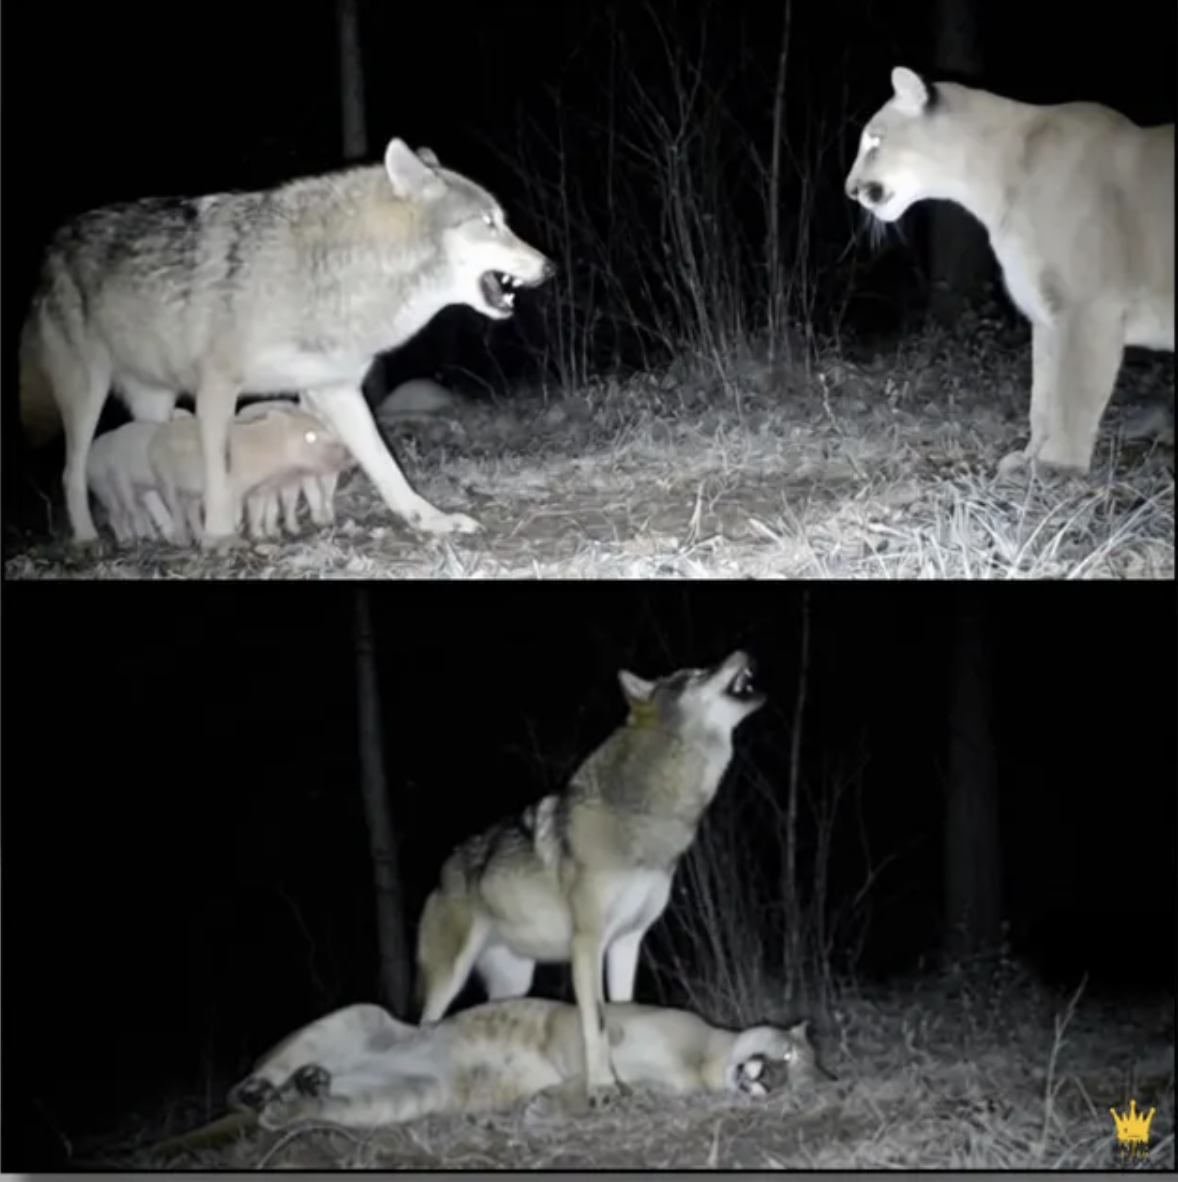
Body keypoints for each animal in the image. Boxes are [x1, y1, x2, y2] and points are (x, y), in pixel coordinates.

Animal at [19, 139, 555, 548]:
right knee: (70, 475)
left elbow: (385, 467)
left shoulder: (335, 389)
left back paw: (169, 533)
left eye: (502, 220)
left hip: (156, 401)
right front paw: (219, 536)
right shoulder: (217, 387)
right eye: (488, 222)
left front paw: (431, 521)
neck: (334, 273)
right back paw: (90, 538)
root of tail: (52, 248)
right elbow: (219, 470)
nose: (549, 266)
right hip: (88, 394)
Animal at [416, 650, 766, 1106]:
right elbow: (596, 1025)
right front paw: (602, 1088)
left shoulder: (626, 941)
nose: (743, 652)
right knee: (423, 1025)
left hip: (515, 980)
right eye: (695, 674)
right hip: (449, 978)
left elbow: (623, 1008)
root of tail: (443, 870)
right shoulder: (587, 943)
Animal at [846, 66, 1174, 475]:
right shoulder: (1048, 316)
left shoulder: (1088, 310)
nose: (850, 189)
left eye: (875, 140)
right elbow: (1043, 396)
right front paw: (1028, 458)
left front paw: (1058, 466)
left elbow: (1074, 397)